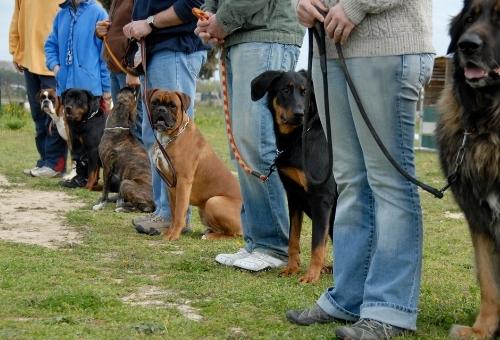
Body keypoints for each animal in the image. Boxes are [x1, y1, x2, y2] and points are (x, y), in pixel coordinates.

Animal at [148, 89, 242, 240]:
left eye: (172, 105)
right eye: (155, 103)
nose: (161, 109)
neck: (170, 136)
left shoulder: (183, 182)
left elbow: (179, 212)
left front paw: (174, 234)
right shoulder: (171, 186)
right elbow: (174, 212)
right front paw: (169, 231)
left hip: (214, 202)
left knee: (234, 234)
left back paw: (211, 236)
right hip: (204, 211)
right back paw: (209, 232)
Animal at [252, 70, 338, 282]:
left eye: (306, 92)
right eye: (285, 90)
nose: (300, 114)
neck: (299, 137)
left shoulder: (322, 198)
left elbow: (317, 243)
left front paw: (311, 276)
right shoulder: (293, 195)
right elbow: (293, 238)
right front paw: (292, 268)